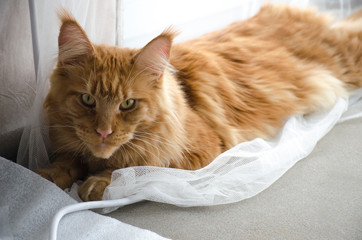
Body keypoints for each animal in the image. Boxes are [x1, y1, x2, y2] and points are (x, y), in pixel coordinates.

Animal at [36, 4, 362, 202]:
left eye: (128, 104)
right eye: (87, 99)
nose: (103, 132)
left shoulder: (197, 151)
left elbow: (138, 164)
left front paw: (99, 182)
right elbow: (67, 161)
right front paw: (47, 176)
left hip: (348, 62)